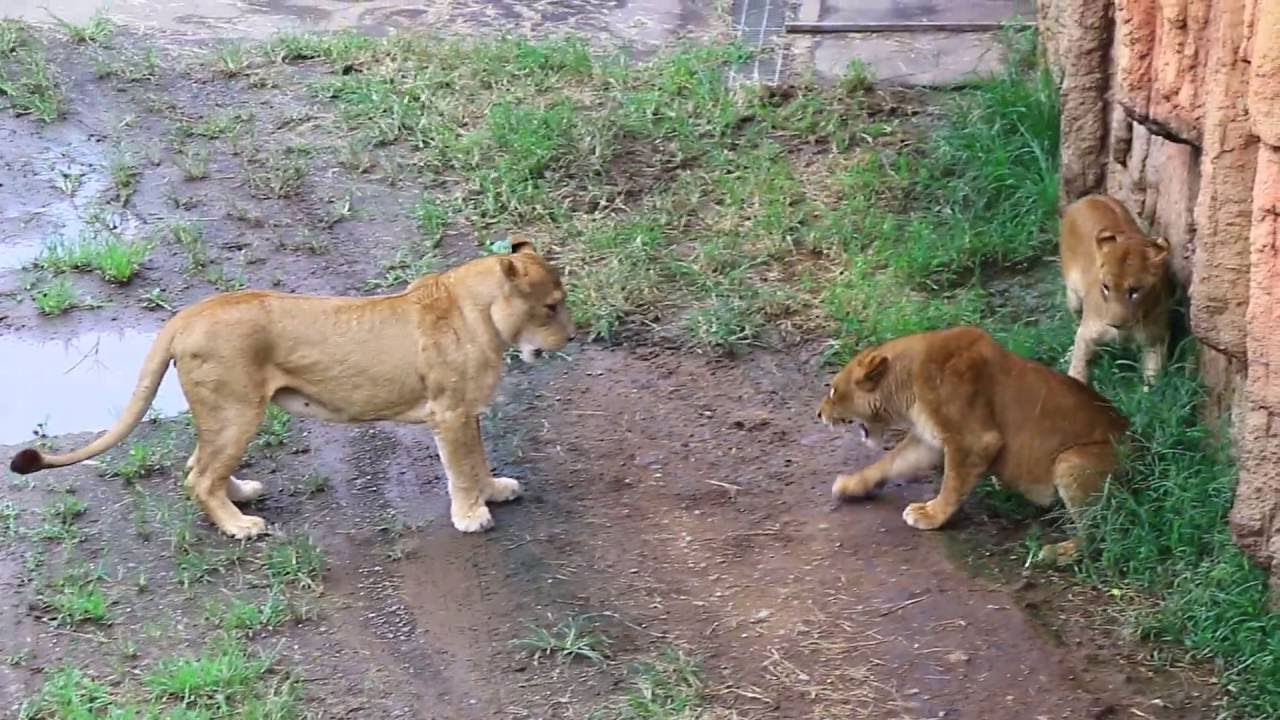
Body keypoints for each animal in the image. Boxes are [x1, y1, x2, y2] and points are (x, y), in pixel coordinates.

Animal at [9, 238, 575, 540]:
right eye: (551, 307)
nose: (572, 336)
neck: (482, 314)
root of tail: (189, 314)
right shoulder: (450, 412)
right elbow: (461, 467)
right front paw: (471, 516)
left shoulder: (468, 412)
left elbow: (478, 460)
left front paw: (495, 490)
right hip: (238, 408)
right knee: (200, 477)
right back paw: (240, 526)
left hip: (224, 413)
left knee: (199, 465)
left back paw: (241, 495)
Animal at [816, 326, 1129, 562]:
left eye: (832, 391)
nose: (818, 414)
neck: (906, 385)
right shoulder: (928, 440)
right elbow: (890, 463)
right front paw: (850, 485)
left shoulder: (974, 440)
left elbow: (952, 484)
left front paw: (930, 515)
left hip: (1071, 460)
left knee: (1099, 533)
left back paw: (1057, 552)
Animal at [1060, 194, 1174, 386]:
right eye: (1106, 287)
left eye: (1134, 291)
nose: (1114, 324)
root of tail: (1089, 197)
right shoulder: (1087, 334)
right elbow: (1078, 368)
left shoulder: (1155, 340)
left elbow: (1153, 380)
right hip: (1073, 297)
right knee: (1075, 321)